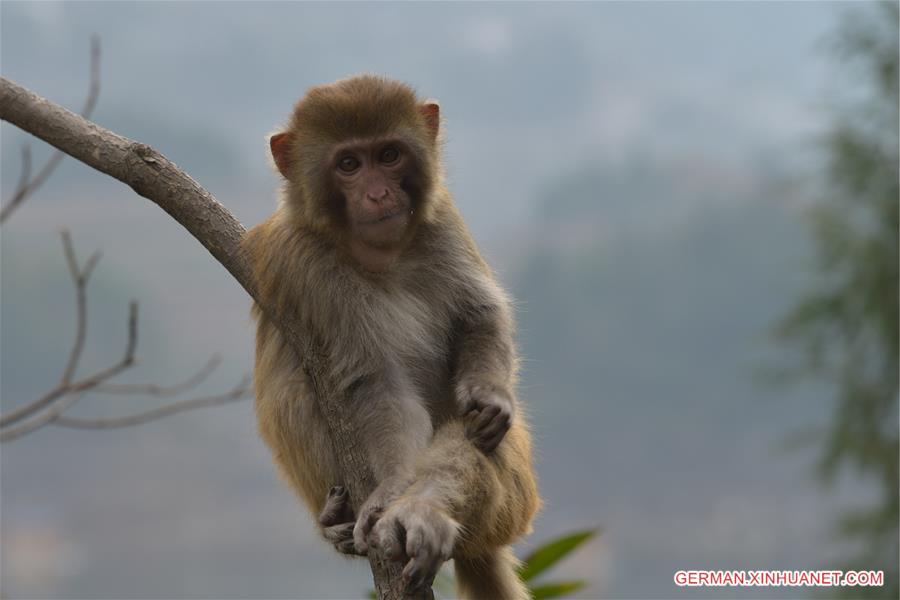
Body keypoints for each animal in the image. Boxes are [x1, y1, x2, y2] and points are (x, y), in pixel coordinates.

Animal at [243, 77, 536, 596]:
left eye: (388, 155)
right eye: (348, 165)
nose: (378, 194)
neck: (381, 255)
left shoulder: (442, 220)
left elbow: (480, 314)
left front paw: (489, 394)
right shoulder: (307, 264)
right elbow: (378, 384)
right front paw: (393, 489)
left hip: (517, 499)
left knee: (483, 440)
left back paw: (424, 511)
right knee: (297, 390)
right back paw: (383, 515)